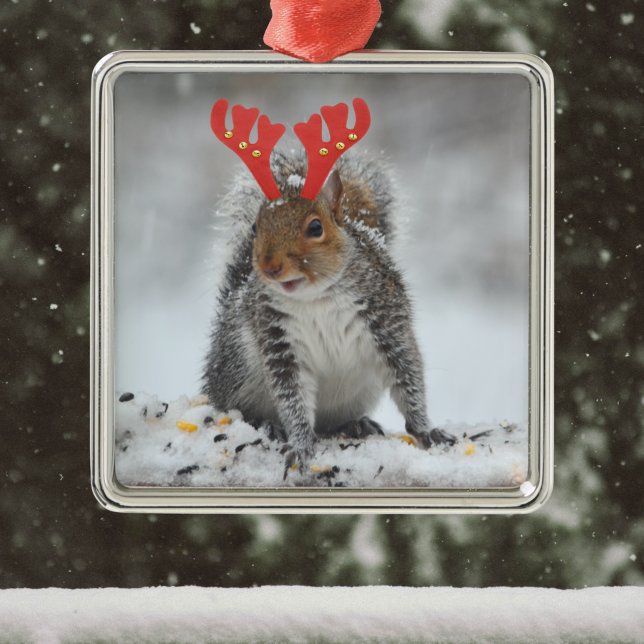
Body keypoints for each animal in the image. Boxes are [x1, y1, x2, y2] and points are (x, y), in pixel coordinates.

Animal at [203, 99, 456, 476]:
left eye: (315, 227)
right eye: (256, 227)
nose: (269, 266)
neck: (316, 298)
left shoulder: (387, 321)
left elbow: (408, 376)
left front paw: (427, 430)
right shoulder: (278, 341)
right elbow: (292, 397)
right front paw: (300, 445)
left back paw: (355, 424)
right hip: (237, 366)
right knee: (234, 406)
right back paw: (266, 424)